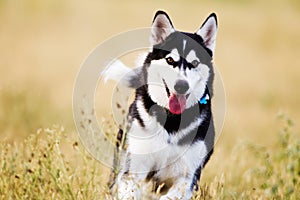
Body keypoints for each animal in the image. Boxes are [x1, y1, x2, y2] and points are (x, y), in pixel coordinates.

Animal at [103, 10, 218, 200]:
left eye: (194, 63)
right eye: (170, 60)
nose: (181, 86)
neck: (171, 120)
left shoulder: (187, 178)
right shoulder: (132, 169)